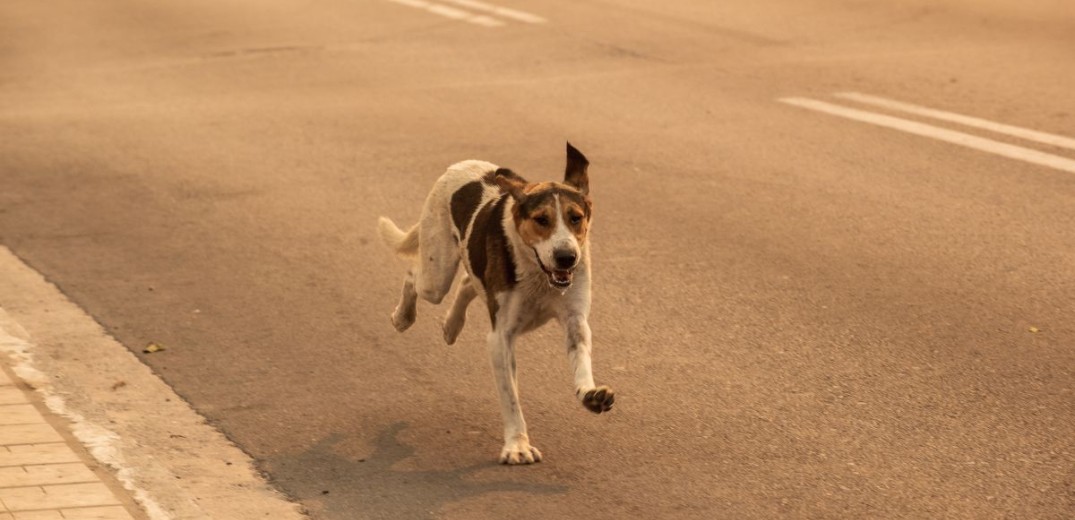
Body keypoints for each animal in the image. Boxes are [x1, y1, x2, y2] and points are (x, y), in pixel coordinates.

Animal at [376, 140, 614, 464]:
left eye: (575, 217)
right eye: (542, 220)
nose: (567, 257)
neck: (537, 273)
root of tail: (461, 164)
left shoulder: (576, 320)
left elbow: (581, 361)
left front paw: (590, 395)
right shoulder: (501, 338)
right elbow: (510, 397)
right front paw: (517, 445)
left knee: (467, 282)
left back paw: (452, 326)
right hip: (436, 274)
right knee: (414, 274)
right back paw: (403, 316)